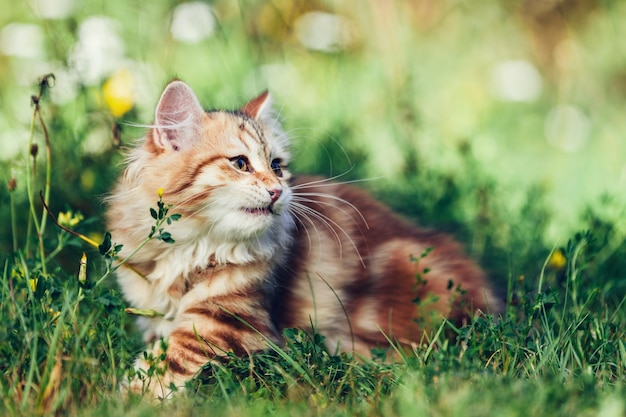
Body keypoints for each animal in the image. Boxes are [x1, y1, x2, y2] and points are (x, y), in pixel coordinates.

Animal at [105, 79, 500, 400]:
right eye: (240, 163)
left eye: (277, 166)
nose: (277, 191)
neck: (195, 248)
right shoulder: (154, 311)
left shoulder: (228, 323)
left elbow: (169, 363)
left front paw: (130, 398)